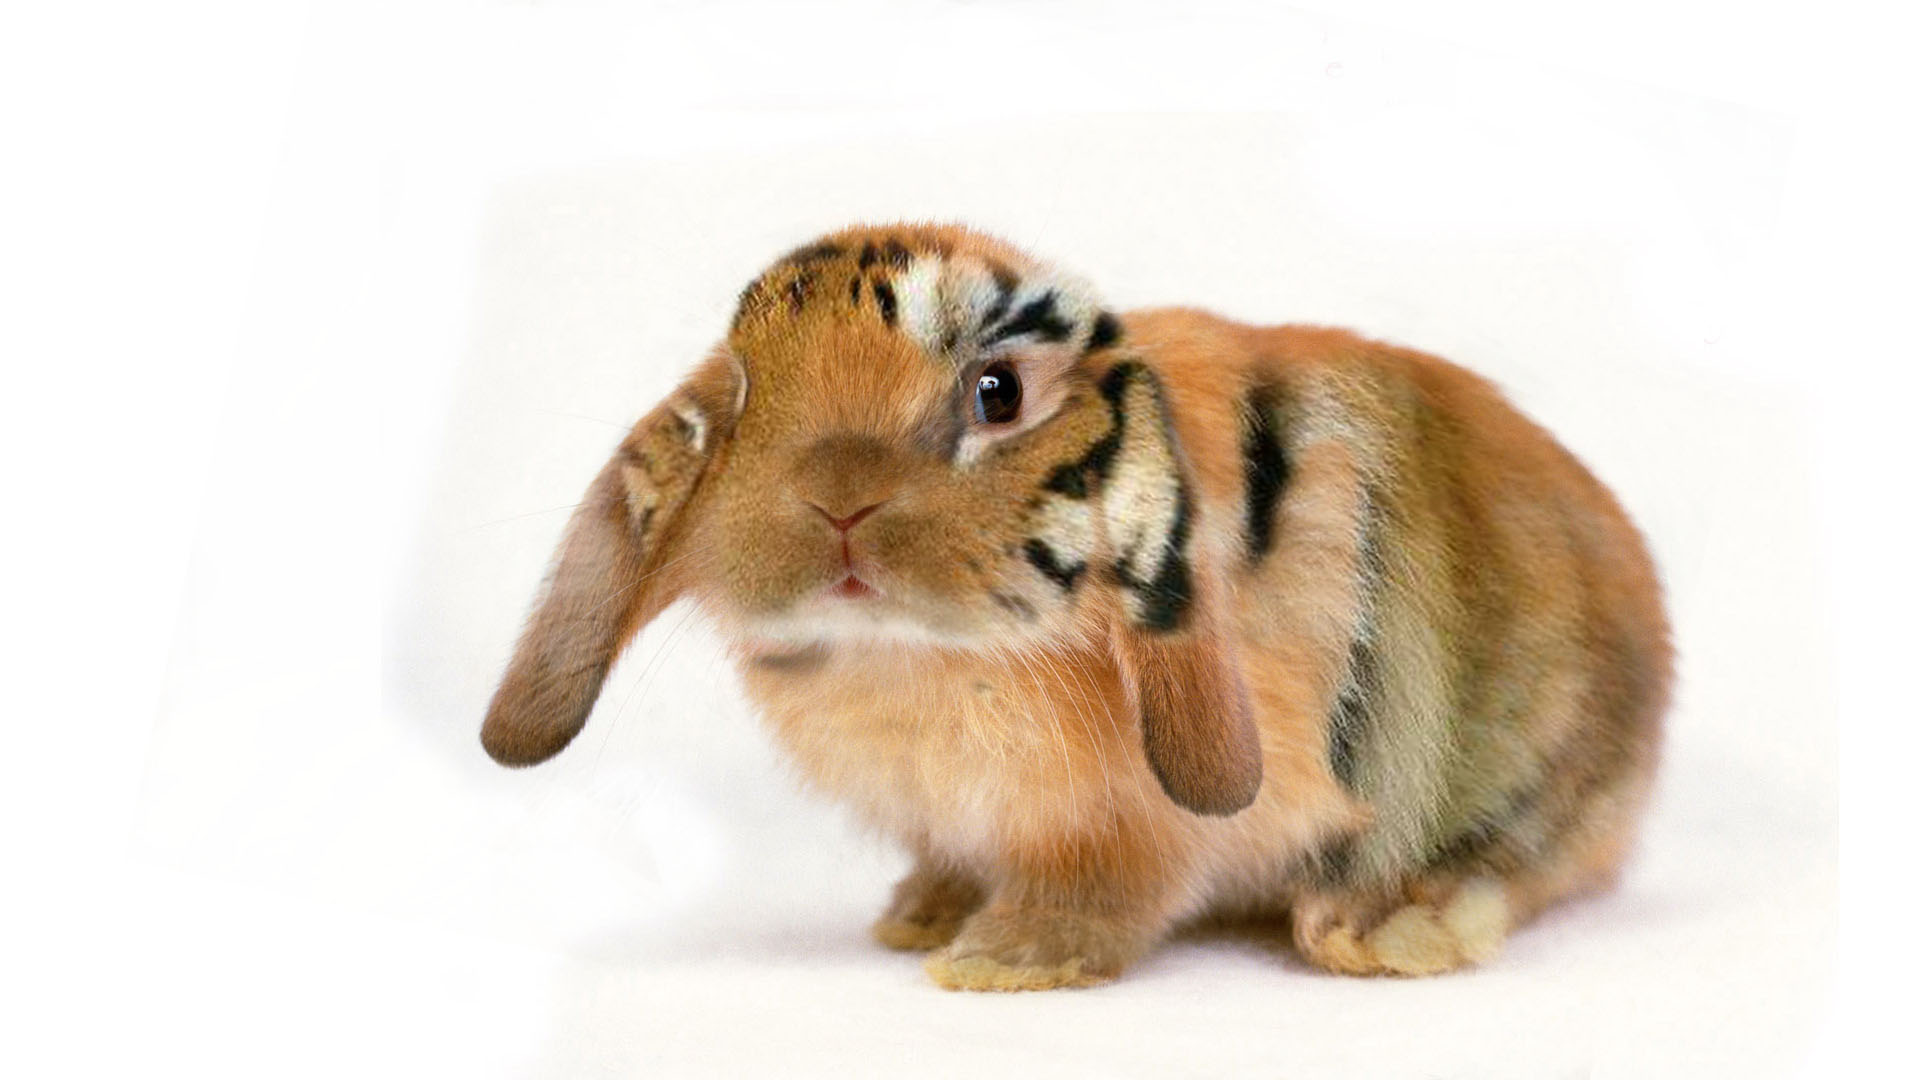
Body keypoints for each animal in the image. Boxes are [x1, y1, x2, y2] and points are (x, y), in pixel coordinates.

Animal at [480, 223, 1671, 990]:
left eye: (996, 392)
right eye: (742, 393)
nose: (836, 501)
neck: (911, 654)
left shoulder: (1128, 830)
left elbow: (1100, 892)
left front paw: (997, 962)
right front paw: (919, 920)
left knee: (1515, 861)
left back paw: (1381, 930)